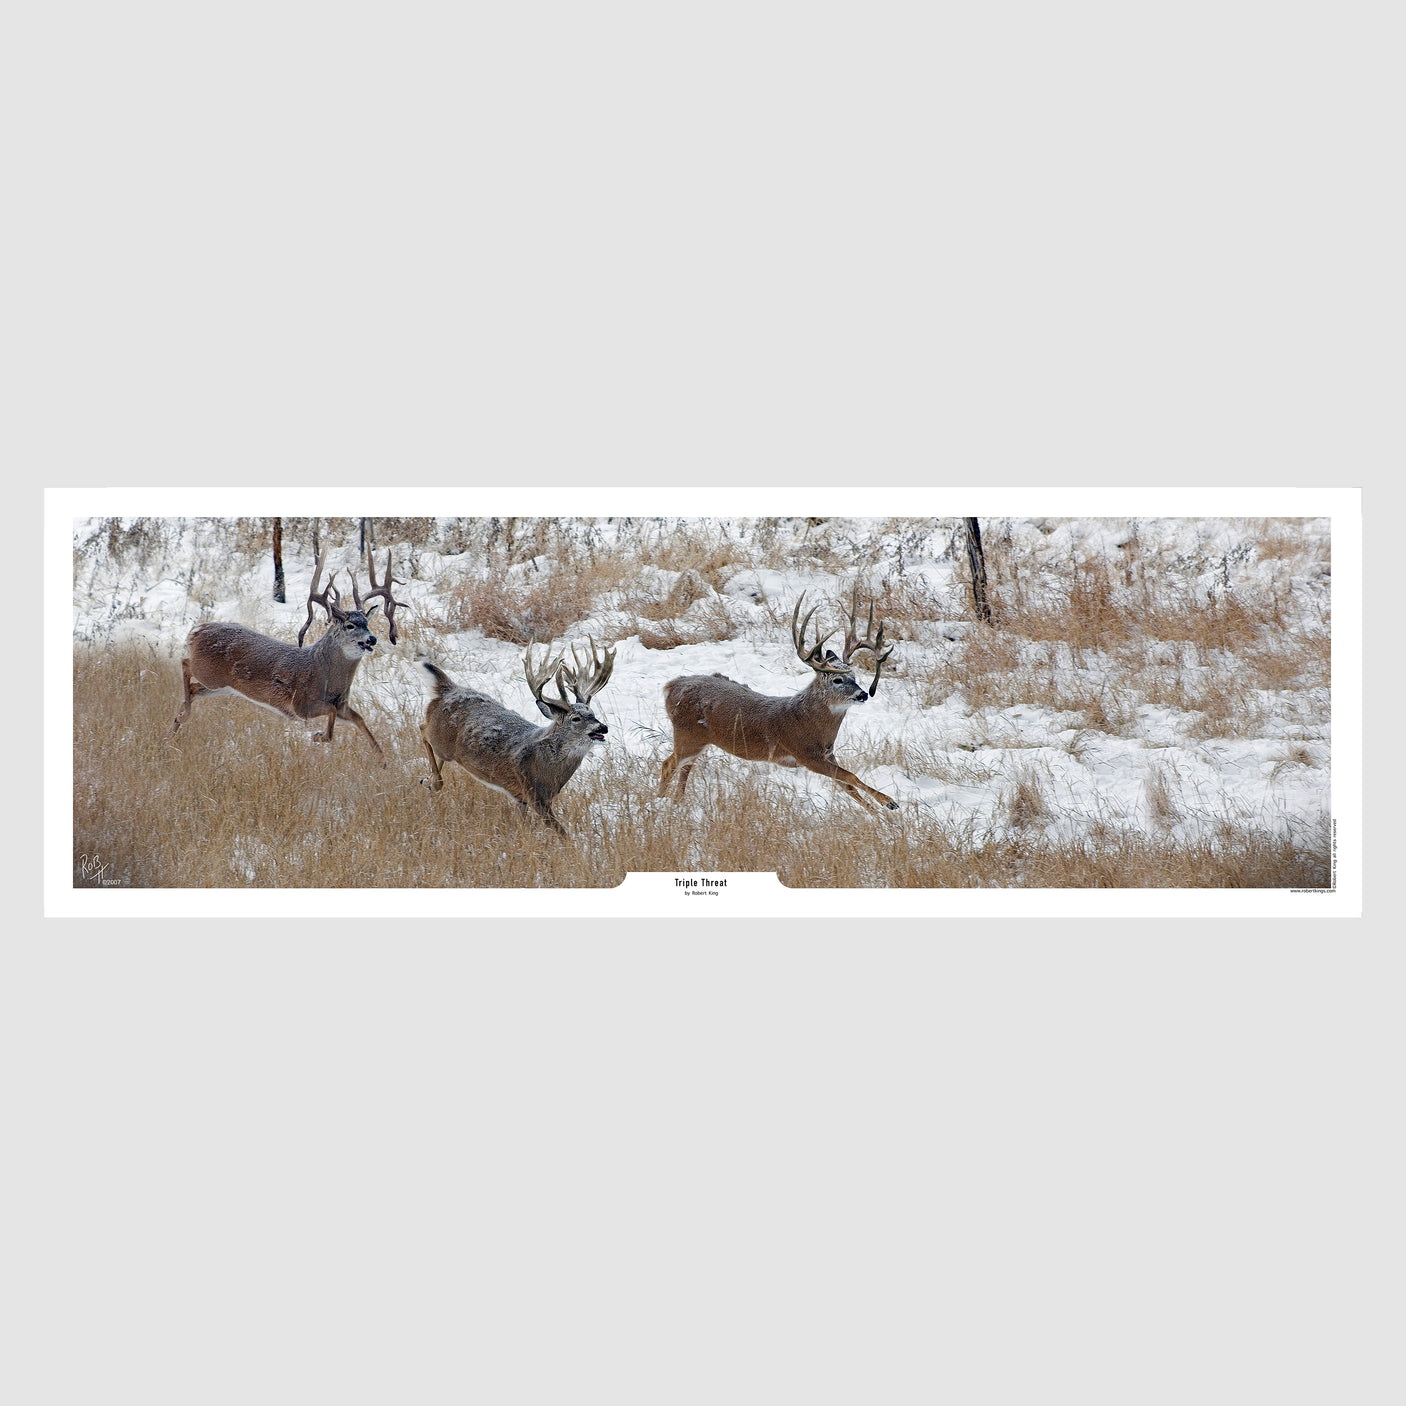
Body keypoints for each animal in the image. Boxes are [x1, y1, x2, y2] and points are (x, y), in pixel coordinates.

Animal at [164, 545, 406, 764]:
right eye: (350, 625)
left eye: (367, 623)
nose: (372, 639)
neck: (326, 676)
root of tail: (196, 630)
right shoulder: (301, 705)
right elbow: (329, 714)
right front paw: (318, 736)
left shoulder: (342, 705)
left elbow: (360, 719)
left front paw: (383, 761)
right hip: (209, 673)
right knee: (184, 663)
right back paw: (183, 716)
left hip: (221, 686)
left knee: (194, 689)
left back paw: (171, 732)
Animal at [417, 637, 616, 835]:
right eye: (576, 718)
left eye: (593, 713)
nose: (603, 727)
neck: (548, 767)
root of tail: (449, 689)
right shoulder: (534, 794)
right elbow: (562, 834)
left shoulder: (522, 798)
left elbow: (521, 826)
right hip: (441, 740)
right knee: (423, 729)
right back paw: (435, 782)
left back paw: (428, 781)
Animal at [658, 587, 899, 811]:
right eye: (837, 680)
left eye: (855, 677)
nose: (863, 694)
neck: (809, 724)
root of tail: (670, 686)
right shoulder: (805, 754)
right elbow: (850, 777)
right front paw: (889, 802)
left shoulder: (828, 755)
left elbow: (848, 786)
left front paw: (880, 814)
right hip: (687, 734)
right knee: (668, 764)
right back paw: (659, 802)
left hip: (697, 740)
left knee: (685, 767)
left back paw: (677, 801)